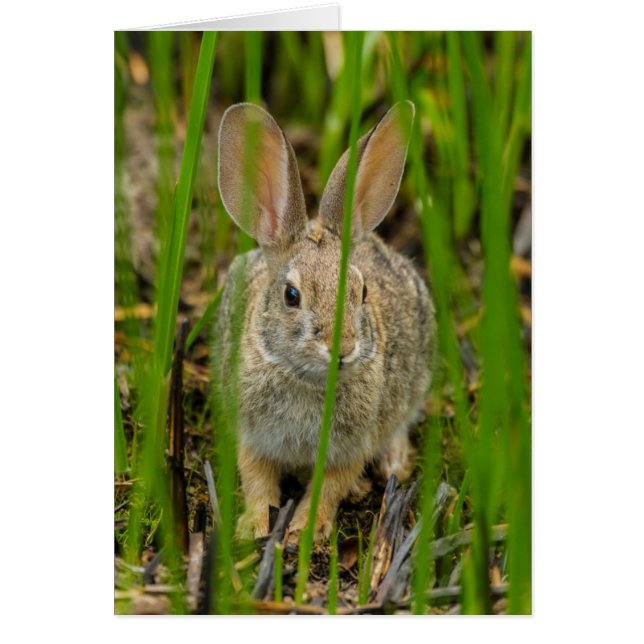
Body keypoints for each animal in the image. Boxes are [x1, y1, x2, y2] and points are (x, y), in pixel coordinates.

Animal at [213, 100, 436, 542]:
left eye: (362, 292)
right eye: (291, 296)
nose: (343, 348)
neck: (307, 379)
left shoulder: (351, 445)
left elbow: (330, 486)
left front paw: (305, 532)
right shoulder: (252, 435)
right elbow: (257, 479)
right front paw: (253, 527)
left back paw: (394, 463)